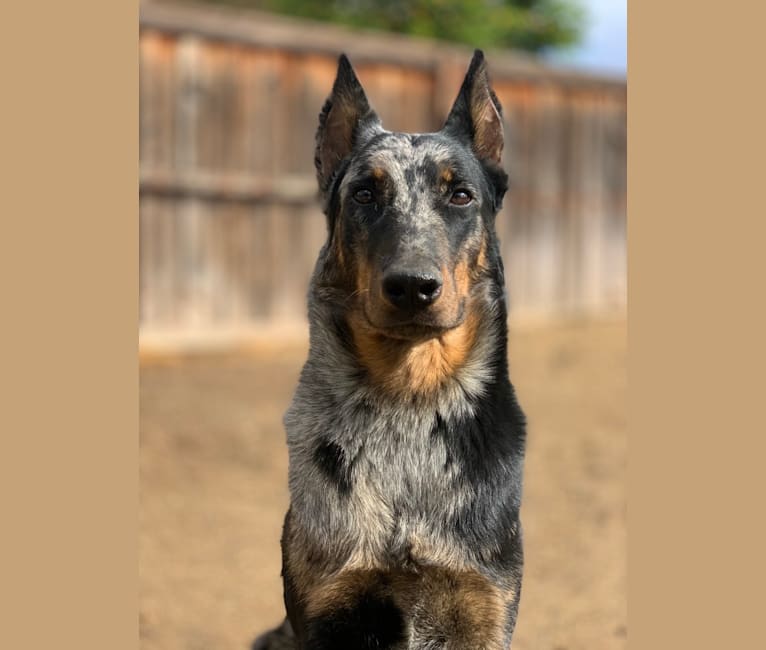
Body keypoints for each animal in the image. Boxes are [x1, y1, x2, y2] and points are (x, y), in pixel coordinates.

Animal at [256, 48, 528, 644]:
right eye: (364, 193)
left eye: (460, 195)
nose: (411, 286)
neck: (410, 405)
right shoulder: (329, 606)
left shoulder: (484, 606)